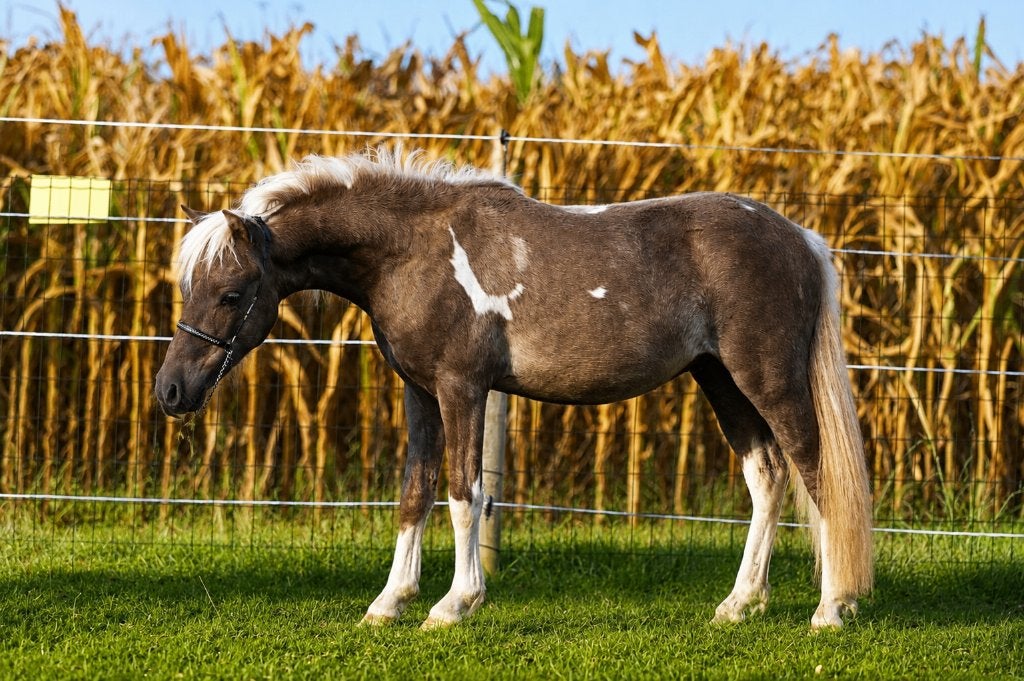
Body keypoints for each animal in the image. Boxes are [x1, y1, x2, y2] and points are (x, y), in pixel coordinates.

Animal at [154, 147, 873, 630]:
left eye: (232, 292)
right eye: (186, 288)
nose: (170, 391)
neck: (413, 251)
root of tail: (802, 239)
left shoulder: (462, 388)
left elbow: (464, 492)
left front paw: (454, 603)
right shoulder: (419, 393)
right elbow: (414, 493)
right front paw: (389, 602)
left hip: (768, 379)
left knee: (815, 473)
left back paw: (830, 608)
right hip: (720, 379)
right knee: (767, 476)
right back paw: (739, 603)